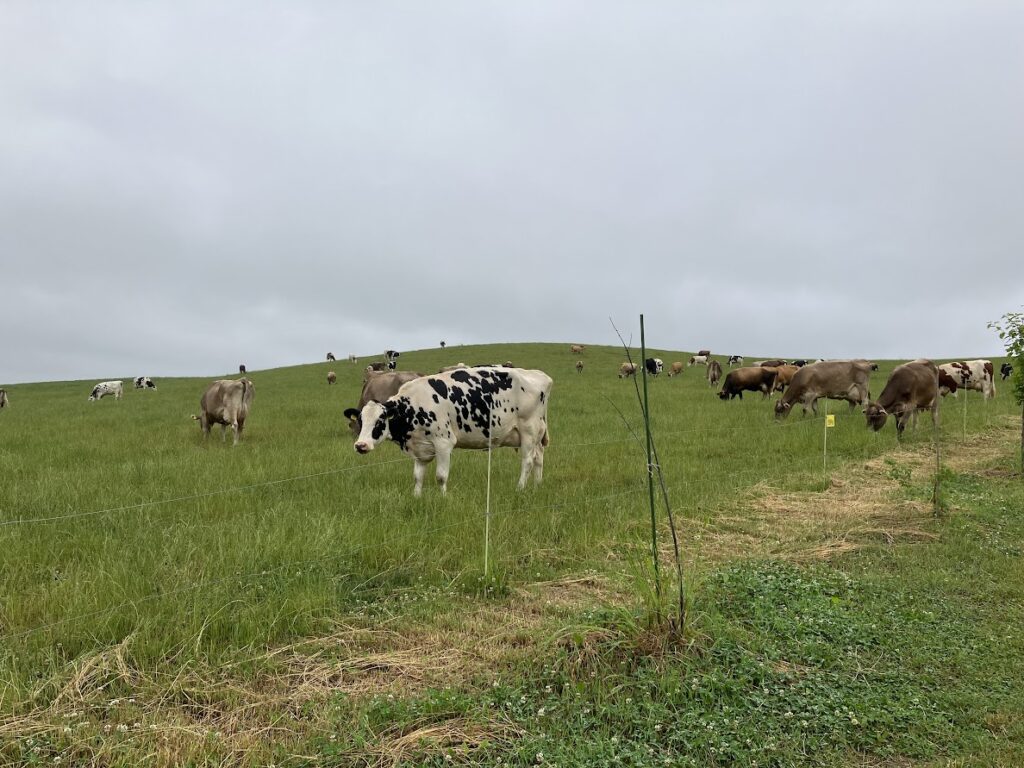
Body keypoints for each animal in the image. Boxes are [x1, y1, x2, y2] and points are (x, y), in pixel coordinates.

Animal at [352, 368, 552, 499]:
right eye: (361, 421)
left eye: (379, 421)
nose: (360, 445)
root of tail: (540, 375)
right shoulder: (419, 448)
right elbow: (417, 476)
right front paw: (416, 497)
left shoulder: (443, 442)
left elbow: (441, 476)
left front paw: (443, 498)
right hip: (537, 434)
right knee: (538, 458)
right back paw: (537, 486)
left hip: (529, 430)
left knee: (527, 461)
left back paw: (520, 488)